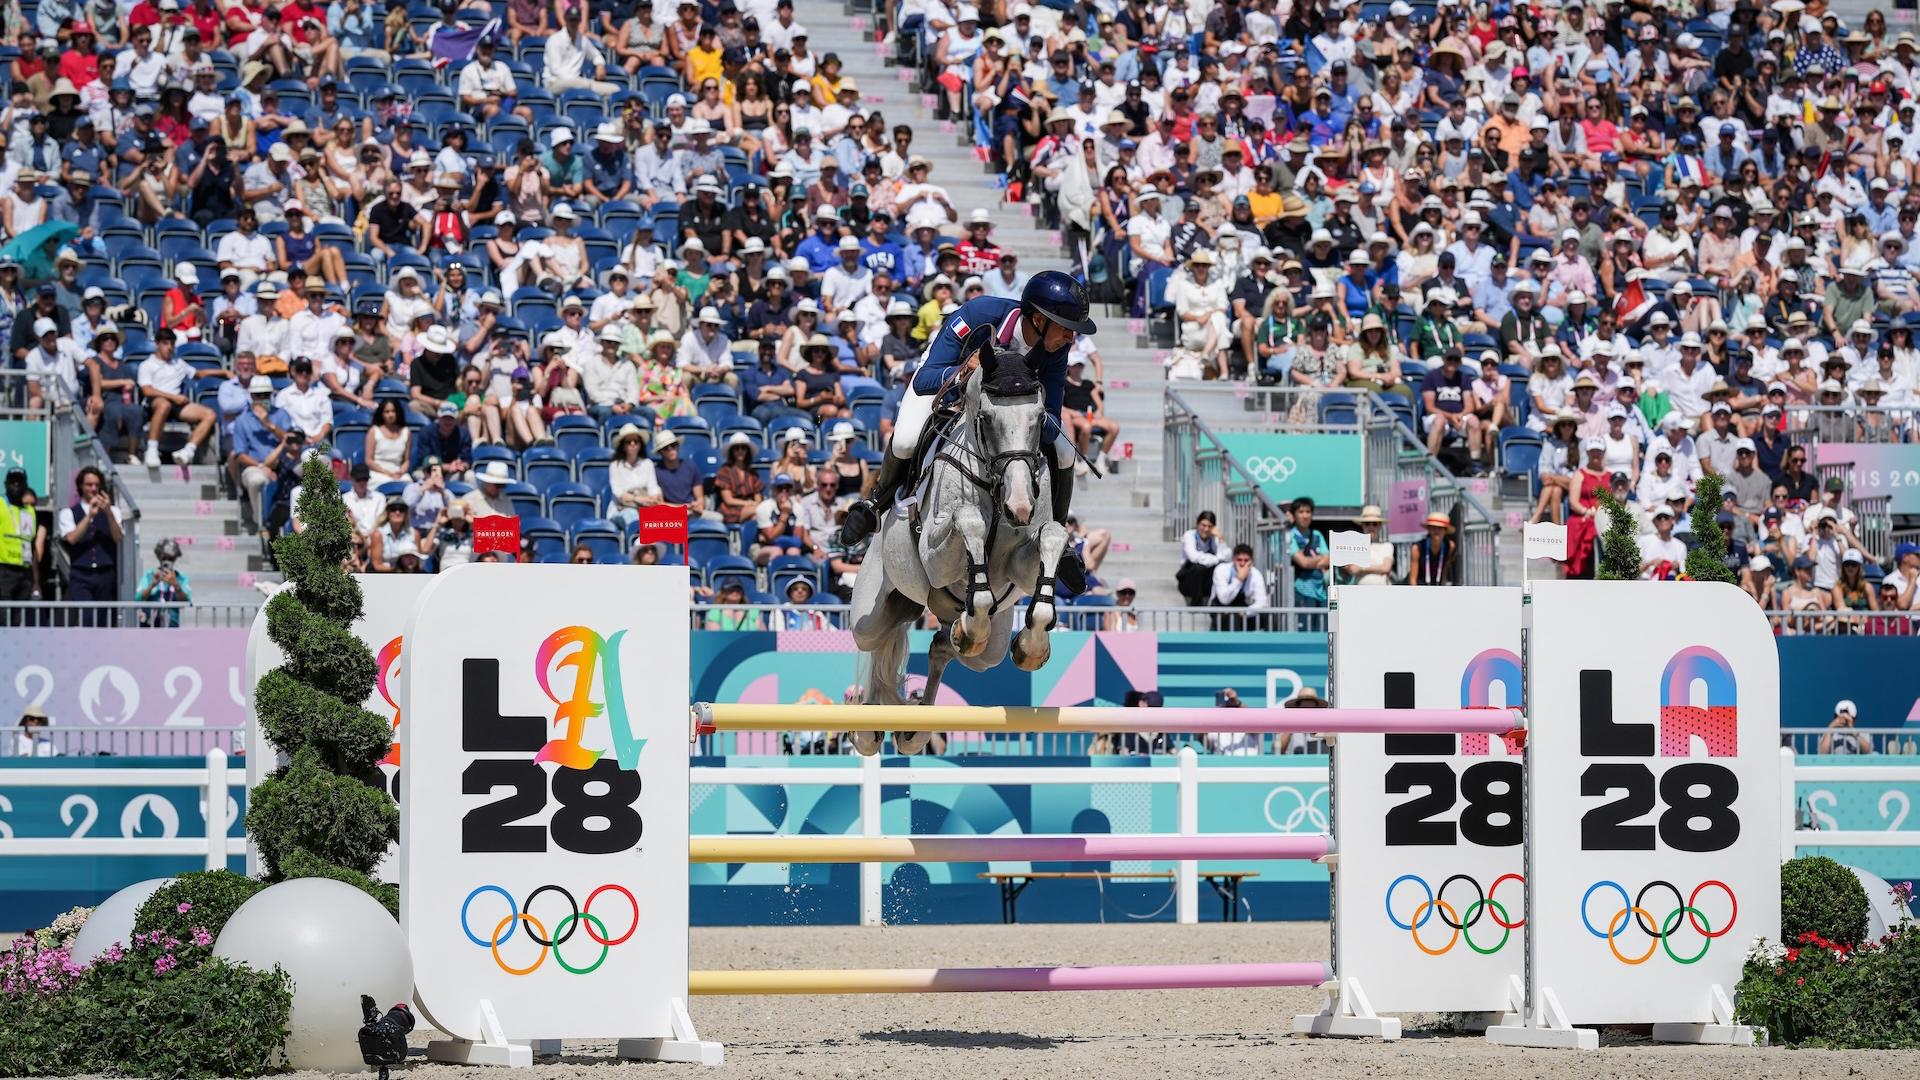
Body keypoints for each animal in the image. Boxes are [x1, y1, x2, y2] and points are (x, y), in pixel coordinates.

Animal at [848, 349, 1075, 753]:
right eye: (986, 419)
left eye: (1038, 419)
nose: (1020, 507)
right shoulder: (936, 557)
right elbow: (969, 519)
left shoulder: (1019, 563)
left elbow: (1051, 535)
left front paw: (1032, 646)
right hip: (870, 613)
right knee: (874, 642)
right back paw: (867, 724)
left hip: (991, 645)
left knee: (950, 648)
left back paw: (916, 723)